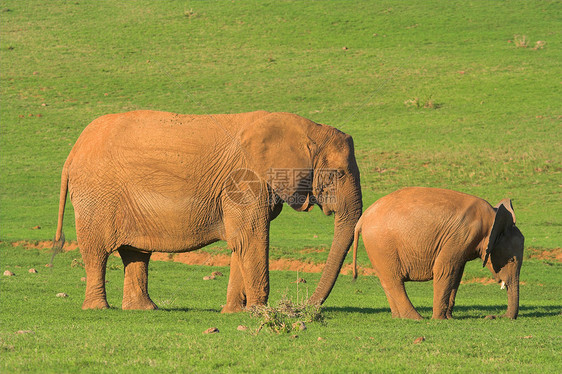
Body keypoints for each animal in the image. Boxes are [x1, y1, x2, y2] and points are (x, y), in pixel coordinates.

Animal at [54, 109, 360, 312]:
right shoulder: (244, 180)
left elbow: (240, 242)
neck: (307, 128)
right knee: (96, 252)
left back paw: (145, 309)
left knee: (136, 253)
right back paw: (98, 309)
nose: (303, 307)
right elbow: (251, 237)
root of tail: (72, 152)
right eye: (337, 174)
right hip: (97, 194)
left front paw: (235, 313)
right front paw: (259, 312)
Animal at [352, 187, 524, 318]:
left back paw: (399, 317)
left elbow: (456, 274)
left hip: (377, 248)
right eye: (511, 260)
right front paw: (439, 319)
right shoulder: (462, 235)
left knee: (387, 280)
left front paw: (449, 318)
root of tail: (362, 219)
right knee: (394, 281)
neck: (493, 218)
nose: (492, 316)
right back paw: (416, 318)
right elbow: (444, 269)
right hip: (382, 245)